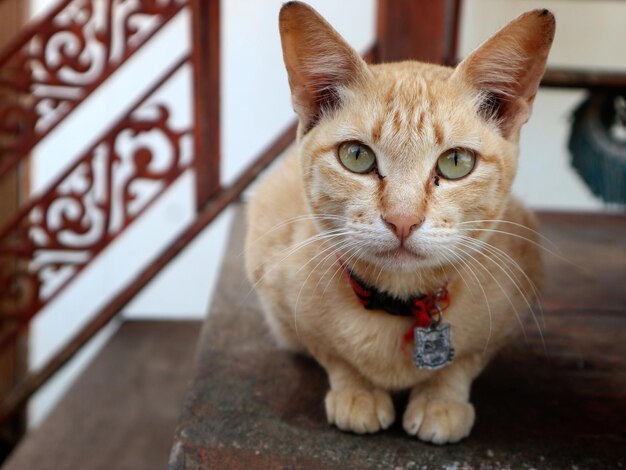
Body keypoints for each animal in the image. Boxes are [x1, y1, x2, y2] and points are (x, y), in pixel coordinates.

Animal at [244, 0, 552, 444]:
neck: (400, 303)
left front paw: (441, 398)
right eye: (356, 156)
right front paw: (356, 390)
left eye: (456, 162)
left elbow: (465, 361)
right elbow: (330, 352)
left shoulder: (518, 289)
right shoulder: (275, 283)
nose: (403, 221)